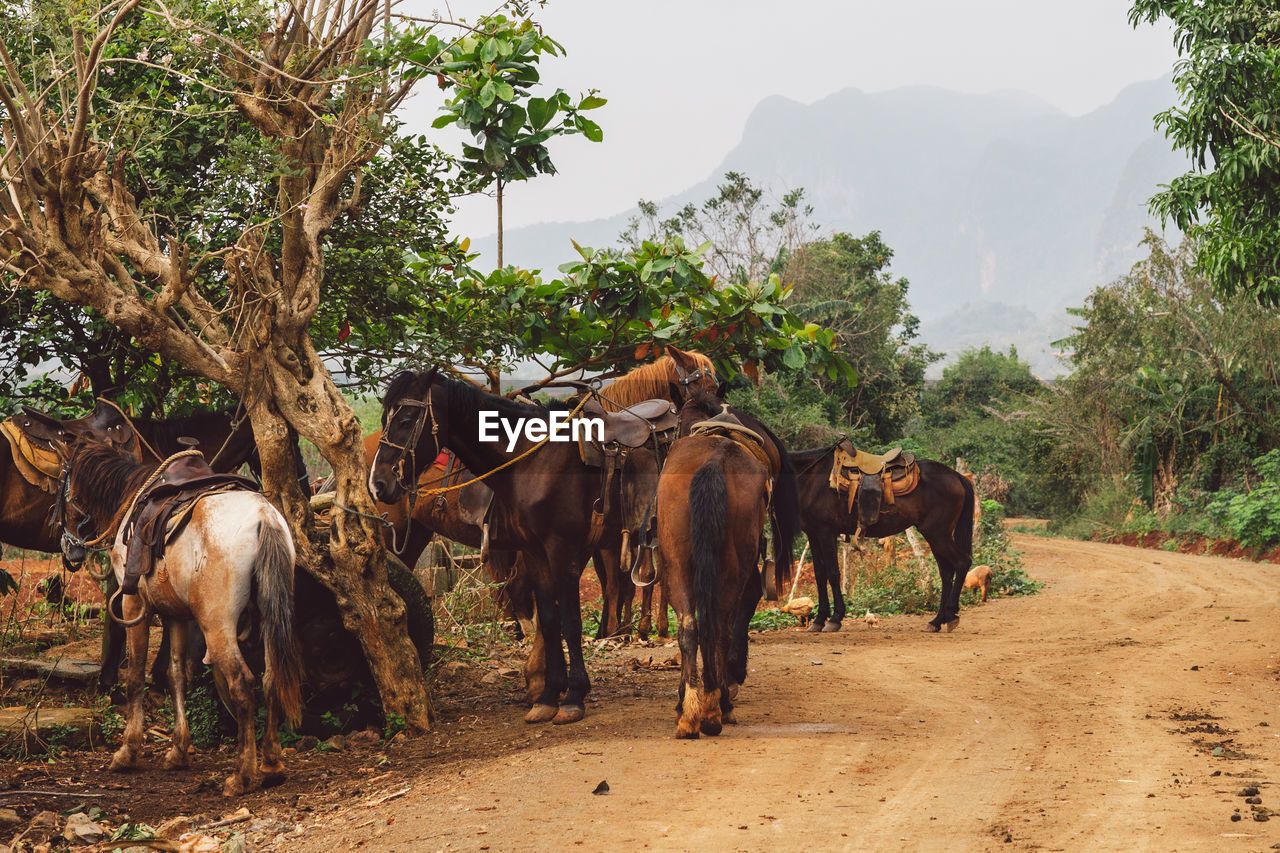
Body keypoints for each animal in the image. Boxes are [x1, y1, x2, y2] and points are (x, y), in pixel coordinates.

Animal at [366, 368, 655, 722]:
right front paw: (547, 695)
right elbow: (550, 619)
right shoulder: (537, 553)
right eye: (385, 419)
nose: (378, 484)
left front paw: (572, 696)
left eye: (407, 420)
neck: (534, 460)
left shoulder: (563, 550)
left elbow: (570, 620)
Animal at [655, 384, 773, 732]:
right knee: (719, 626)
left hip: (677, 562)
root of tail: (713, 461)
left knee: (690, 626)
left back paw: (691, 710)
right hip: (732, 566)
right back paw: (715, 707)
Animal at [783, 438, 972, 630]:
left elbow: (833, 573)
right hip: (936, 536)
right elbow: (820, 575)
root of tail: (957, 476)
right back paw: (937, 621)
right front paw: (819, 620)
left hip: (938, 534)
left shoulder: (826, 532)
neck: (811, 478)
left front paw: (835, 619)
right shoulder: (813, 534)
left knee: (962, 563)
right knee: (946, 573)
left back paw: (950, 614)